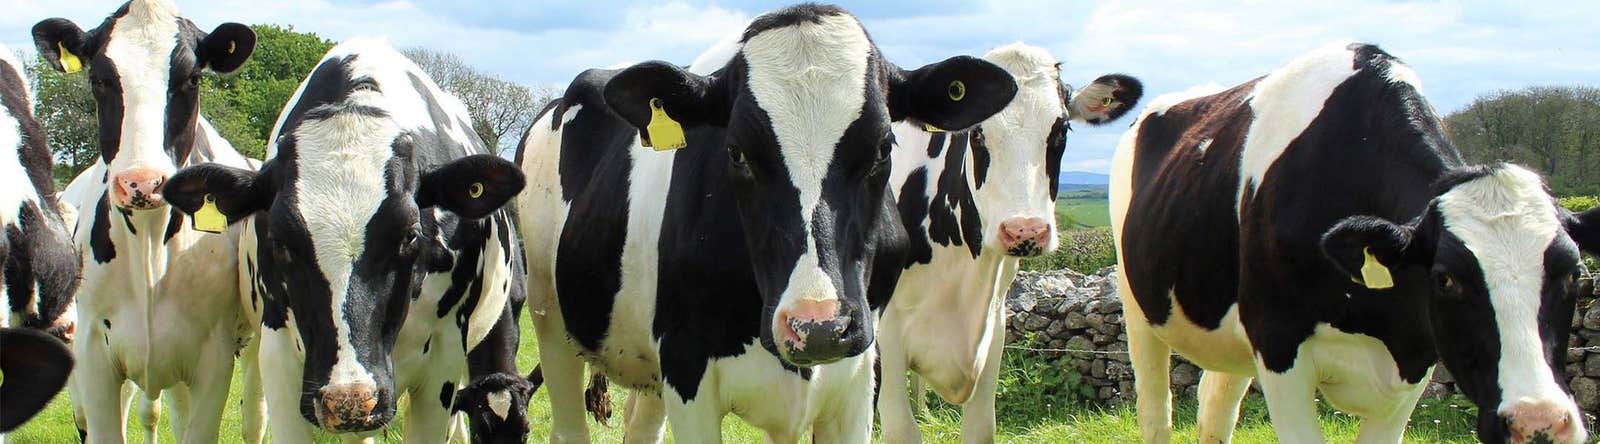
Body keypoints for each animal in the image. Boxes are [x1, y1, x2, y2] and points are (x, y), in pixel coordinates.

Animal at [31, 1, 263, 442]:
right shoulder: (93, 353)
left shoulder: (215, 357)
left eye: (191, 78)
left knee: (253, 418)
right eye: (99, 78)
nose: (141, 182)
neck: (150, 244)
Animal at [515, 4, 1018, 442]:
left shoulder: (860, 377)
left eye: (883, 147)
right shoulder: (686, 370)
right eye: (736, 152)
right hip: (550, 320)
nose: (818, 326)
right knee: (568, 425)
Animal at [876, 42, 1141, 443]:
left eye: (1062, 130)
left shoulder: (994, 326)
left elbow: (981, 427)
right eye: (977, 133)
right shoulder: (884, 332)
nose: (1025, 231)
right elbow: (899, 430)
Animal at [1111, 42, 1596, 444]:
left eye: (1574, 273)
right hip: (1139, 310)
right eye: (1445, 279)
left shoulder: (1414, 362)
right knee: (1156, 412)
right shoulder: (1278, 346)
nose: (1538, 422)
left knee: (1215, 410)